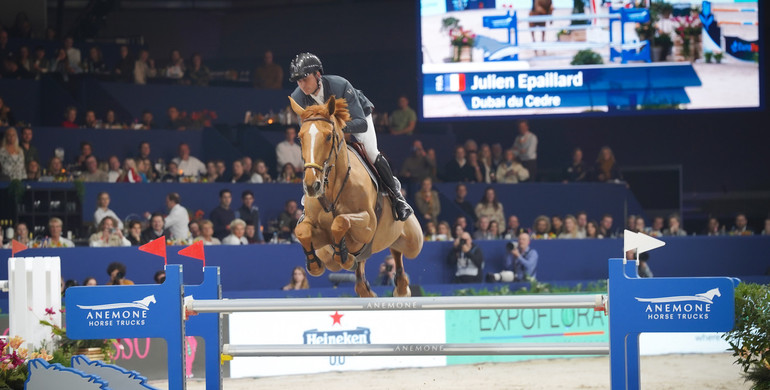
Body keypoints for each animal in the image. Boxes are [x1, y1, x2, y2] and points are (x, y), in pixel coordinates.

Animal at [288, 96, 424, 298]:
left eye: (328, 136)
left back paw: (401, 287)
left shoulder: (368, 224)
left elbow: (341, 222)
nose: (312, 185)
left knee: (398, 249)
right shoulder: (320, 238)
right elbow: (302, 231)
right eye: (300, 137)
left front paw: (345, 255)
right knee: (366, 262)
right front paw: (315, 264)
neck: (333, 190)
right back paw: (366, 286)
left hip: (413, 242)